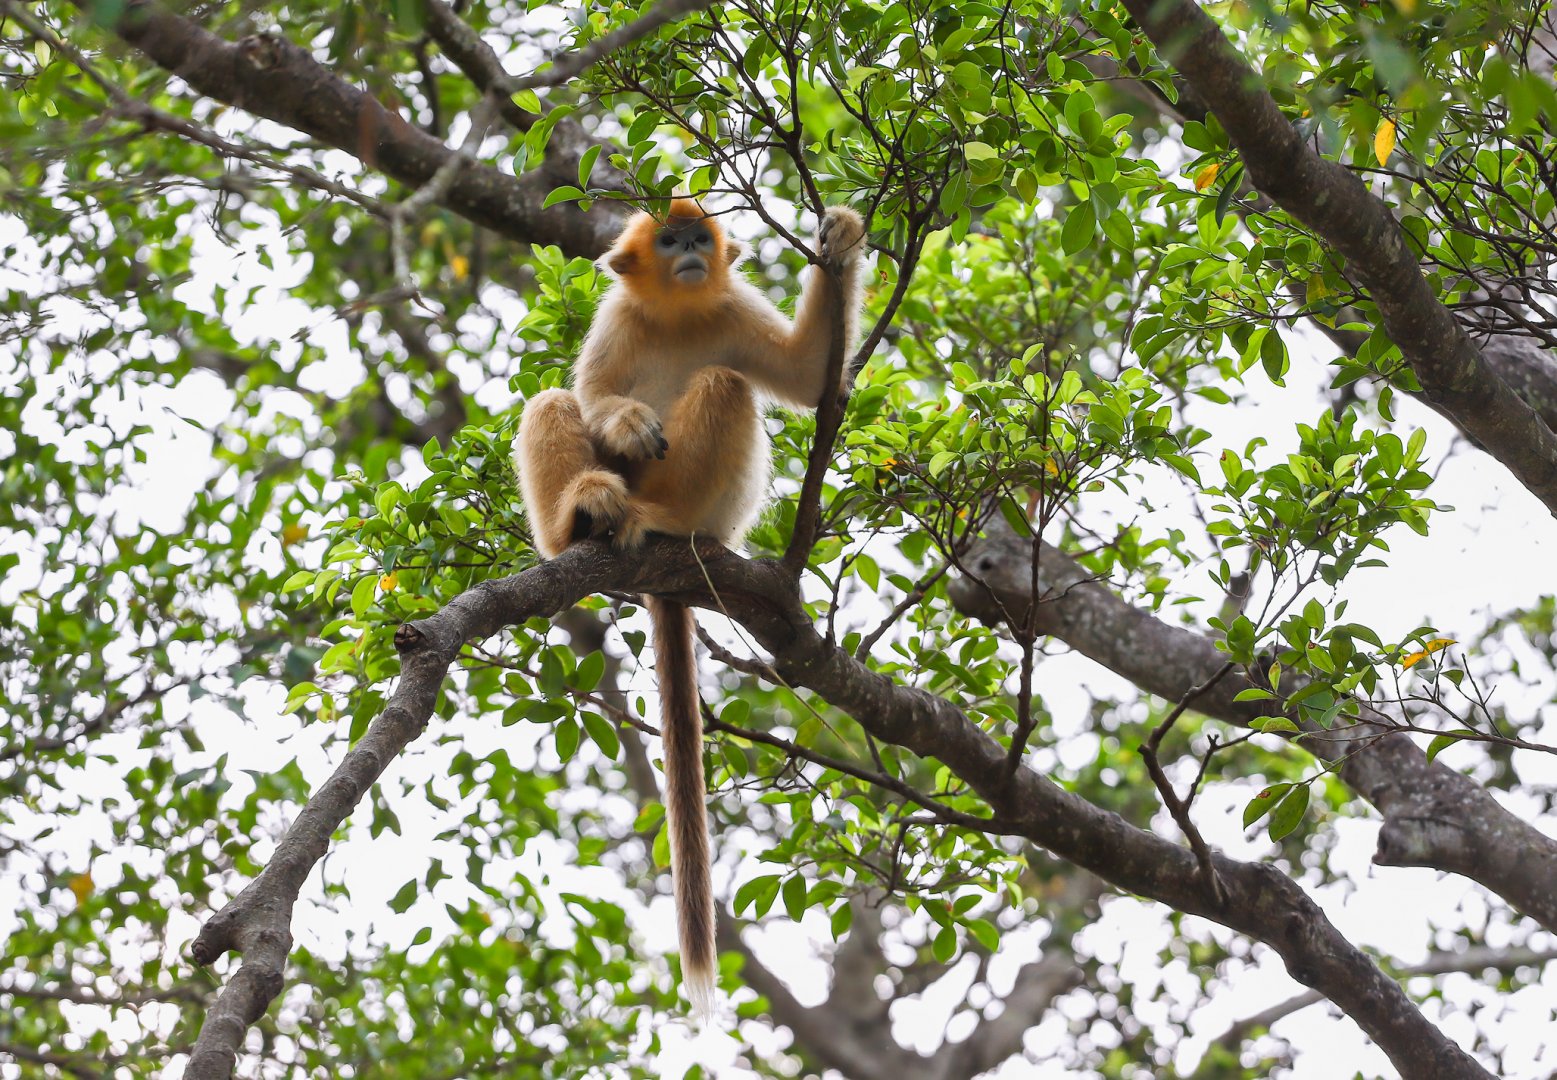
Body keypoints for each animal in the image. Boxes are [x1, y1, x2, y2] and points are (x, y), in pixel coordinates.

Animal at [512, 198, 867, 1019]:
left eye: (700, 237)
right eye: (668, 240)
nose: (689, 254)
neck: (676, 315)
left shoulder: (730, 308)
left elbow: (809, 377)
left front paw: (839, 238)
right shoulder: (615, 318)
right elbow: (589, 398)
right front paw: (619, 421)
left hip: (714, 513)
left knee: (726, 381)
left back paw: (657, 520)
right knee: (553, 402)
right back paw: (584, 516)